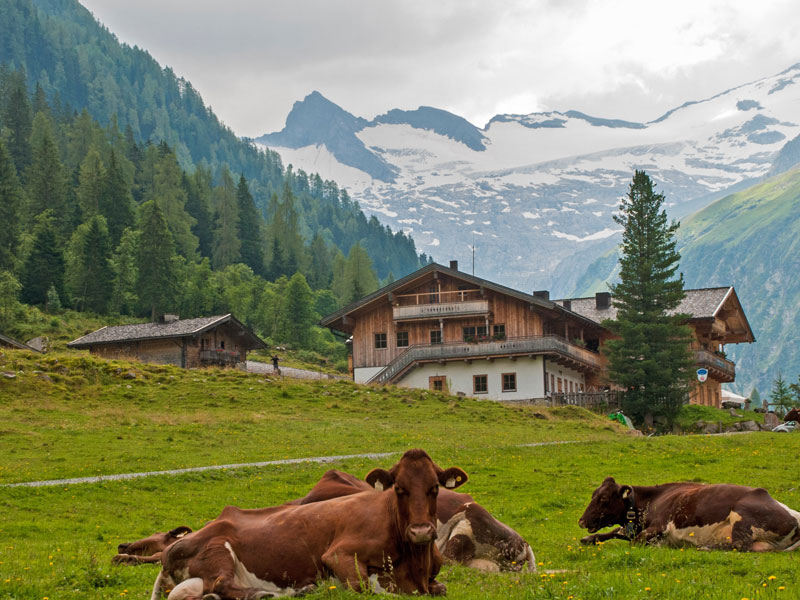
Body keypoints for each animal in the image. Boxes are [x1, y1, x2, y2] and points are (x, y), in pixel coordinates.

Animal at [148, 450, 468, 600]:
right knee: (220, 583)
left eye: (434, 488)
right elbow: (364, 586)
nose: (421, 531)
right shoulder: (338, 554)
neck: (415, 566)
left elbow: (441, 588)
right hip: (217, 549)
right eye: (399, 489)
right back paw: (268, 593)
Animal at [580, 476, 800, 552]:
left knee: (739, 545)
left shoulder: (660, 525)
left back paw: (705, 547)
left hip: (742, 515)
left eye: (603, 499)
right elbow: (614, 532)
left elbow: (636, 541)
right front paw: (588, 538)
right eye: (593, 495)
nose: (581, 521)